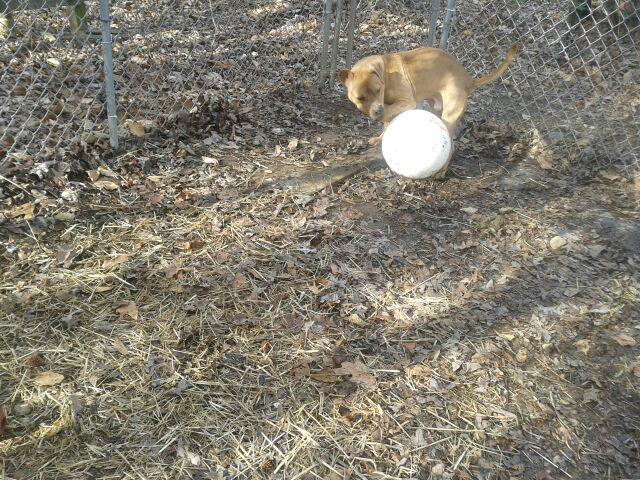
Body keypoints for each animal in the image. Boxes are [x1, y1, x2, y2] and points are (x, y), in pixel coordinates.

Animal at [338, 44, 516, 176]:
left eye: (378, 90)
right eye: (360, 98)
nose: (376, 111)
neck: (386, 74)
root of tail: (468, 81)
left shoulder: (406, 102)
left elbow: (388, 115)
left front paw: (381, 121)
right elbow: (387, 123)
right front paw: (379, 138)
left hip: (448, 118)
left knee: (451, 148)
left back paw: (441, 172)